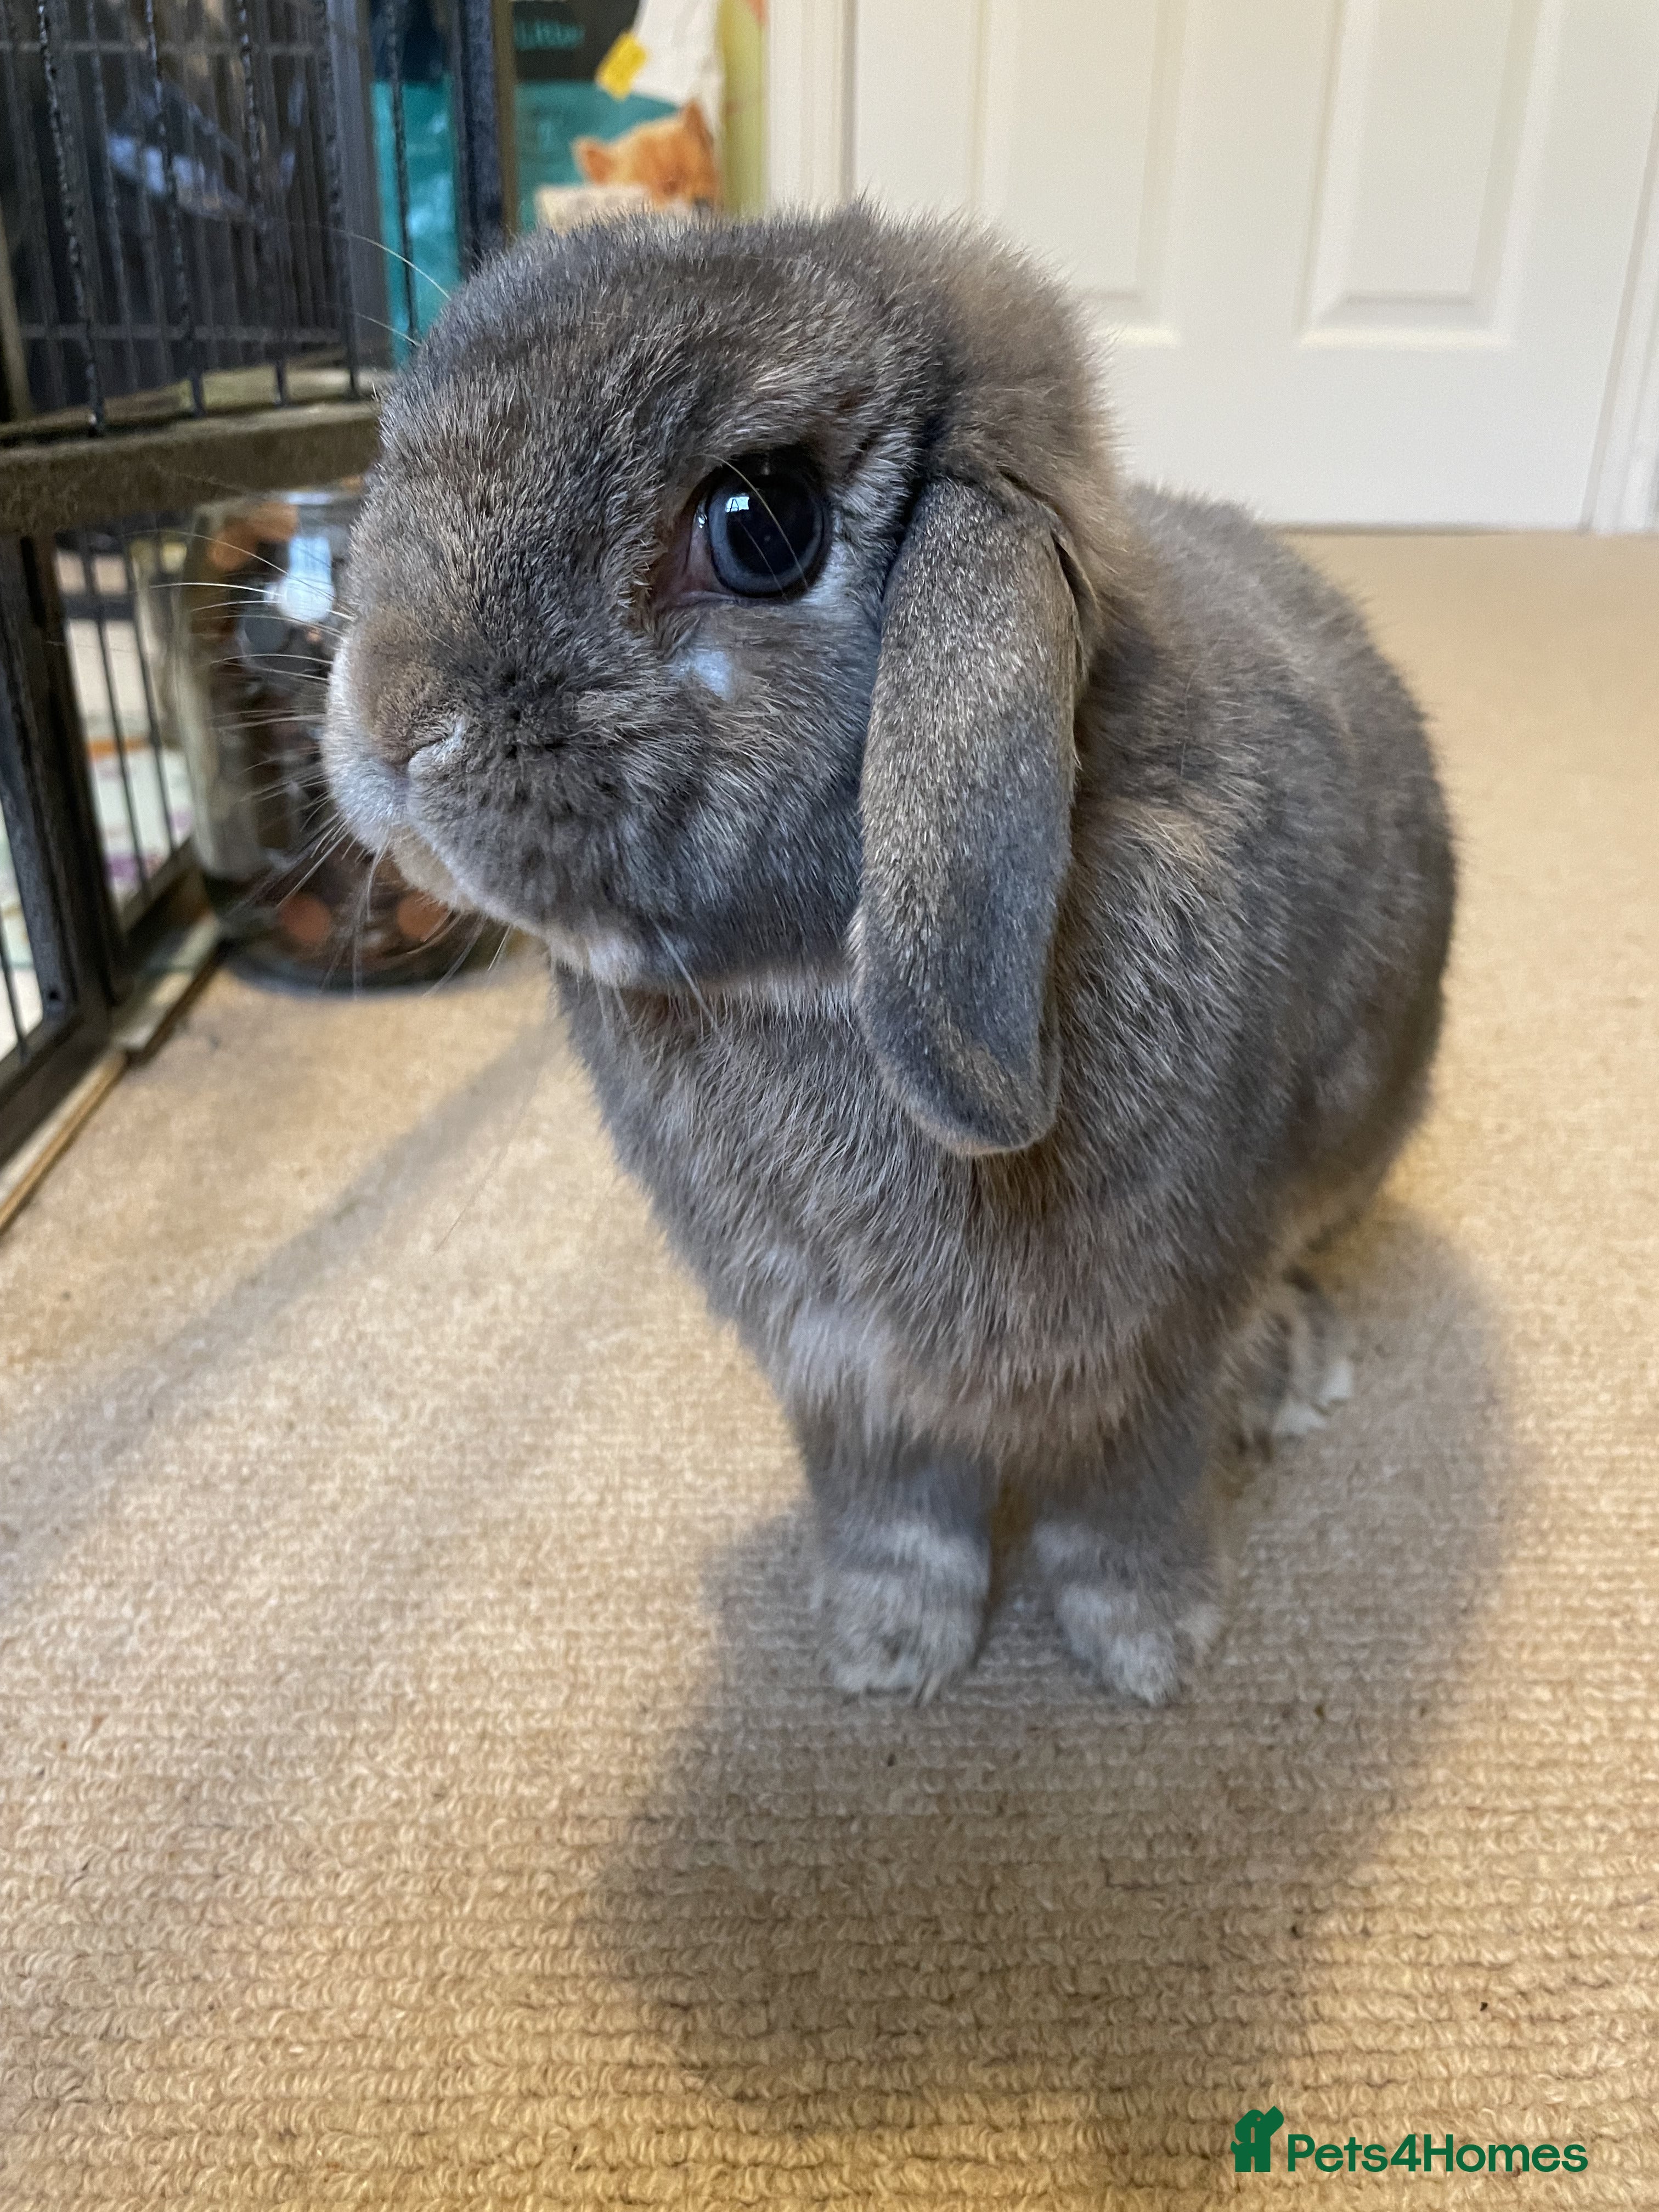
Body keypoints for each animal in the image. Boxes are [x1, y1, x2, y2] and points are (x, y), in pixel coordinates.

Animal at [323, 205, 1455, 1704]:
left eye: (760, 524)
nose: (391, 715)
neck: (807, 994)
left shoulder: (1159, 1342)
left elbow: (1130, 1501)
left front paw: (1149, 1653)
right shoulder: (839, 1369)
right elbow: (895, 1508)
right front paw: (884, 1658)